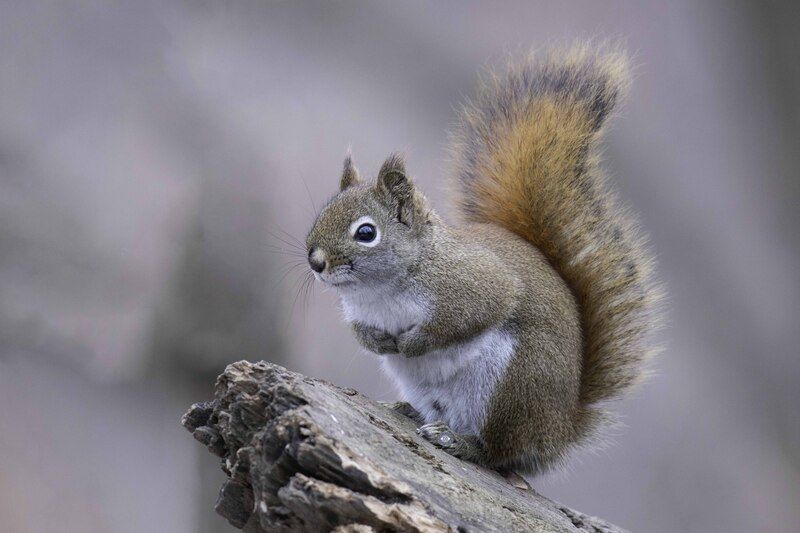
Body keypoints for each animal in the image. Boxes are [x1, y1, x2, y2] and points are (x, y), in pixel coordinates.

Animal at [305, 44, 662, 474]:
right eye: (323, 212)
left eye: (366, 233)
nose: (315, 261)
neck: (381, 289)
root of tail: (558, 433)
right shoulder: (360, 312)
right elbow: (361, 332)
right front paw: (378, 341)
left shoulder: (476, 285)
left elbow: (467, 317)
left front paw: (411, 343)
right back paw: (411, 412)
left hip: (511, 387)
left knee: (496, 453)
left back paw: (457, 441)